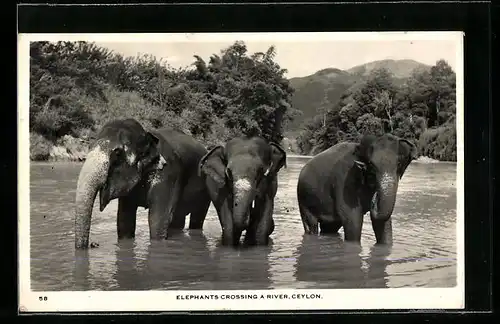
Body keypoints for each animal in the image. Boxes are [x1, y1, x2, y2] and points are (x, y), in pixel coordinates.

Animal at [74, 117, 211, 249]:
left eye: (117, 153)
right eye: (89, 147)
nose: (93, 245)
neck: (146, 134)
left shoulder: (169, 174)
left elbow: (158, 219)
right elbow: (124, 220)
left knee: (196, 218)